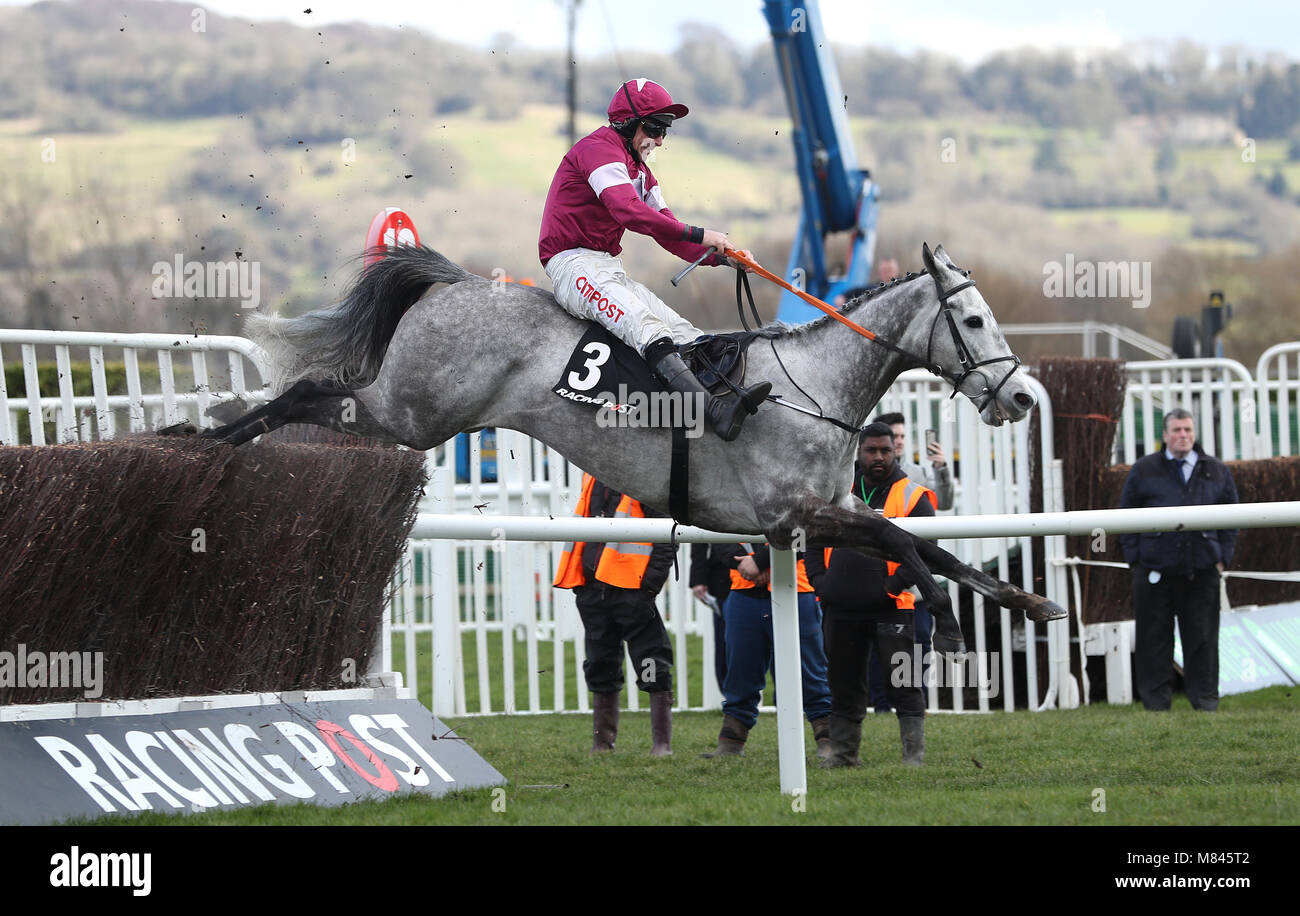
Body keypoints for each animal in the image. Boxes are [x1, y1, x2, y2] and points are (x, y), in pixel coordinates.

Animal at [197, 239, 1060, 647]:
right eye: (973, 319)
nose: (1020, 394)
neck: (814, 386)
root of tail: (453, 282)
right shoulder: (795, 516)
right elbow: (906, 545)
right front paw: (945, 620)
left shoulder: (827, 511)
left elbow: (929, 543)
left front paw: (1028, 600)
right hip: (413, 412)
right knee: (310, 392)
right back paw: (208, 438)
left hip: (411, 411)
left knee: (315, 395)